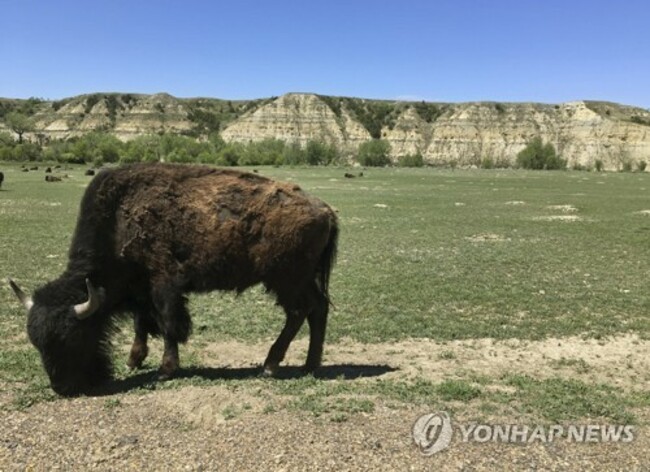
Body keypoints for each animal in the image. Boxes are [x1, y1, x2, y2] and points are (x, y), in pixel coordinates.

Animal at [9, 163, 338, 396]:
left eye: (73, 336)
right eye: (37, 343)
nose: (63, 387)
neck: (118, 220)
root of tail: (326, 210)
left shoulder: (164, 285)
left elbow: (168, 324)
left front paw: (166, 369)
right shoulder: (141, 289)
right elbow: (143, 323)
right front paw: (134, 360)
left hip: (286, 280)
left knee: (299, 312)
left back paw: (271, 365)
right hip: (301, 279)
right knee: (317, 309)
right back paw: (310, 365)